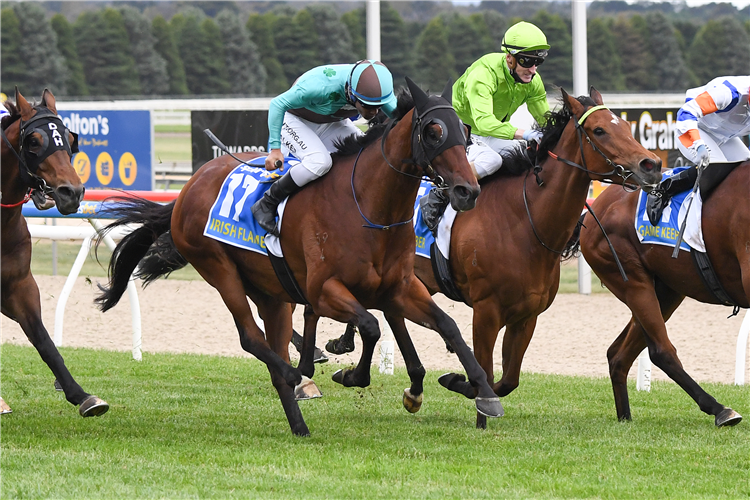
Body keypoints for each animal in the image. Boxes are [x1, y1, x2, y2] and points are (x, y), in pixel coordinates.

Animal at [0, 89, 108, 418]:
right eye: (34, 141)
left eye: (70, 139)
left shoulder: (19, 285)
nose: (70, 192)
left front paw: (81, 395)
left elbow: (43, 340)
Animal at [94, 79, 506, 438]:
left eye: (465, 131)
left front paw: (484, 393)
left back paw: (300, 424)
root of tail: (186, 189)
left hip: (270, 292)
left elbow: (448, 326)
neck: (368, 206)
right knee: (250, 337)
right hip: (219, 269)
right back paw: (296, 377)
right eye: (433, 131)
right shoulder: (323, 290)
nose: (468, 191)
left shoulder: (401, 287)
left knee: (272, 344)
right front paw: (352, 375)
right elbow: (370, 325)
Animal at [324, 89, 664, 426]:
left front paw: (458, 382)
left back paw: (409, 387)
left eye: (625, 125)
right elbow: (486, 370)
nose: (652, 164)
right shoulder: (485, 311)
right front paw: (479, 414)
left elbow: (508, 379)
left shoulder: (527, 316)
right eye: (600, 130)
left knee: (394, 313)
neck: (526, 222)